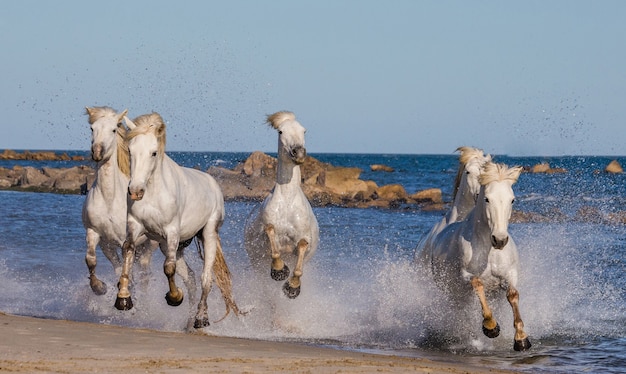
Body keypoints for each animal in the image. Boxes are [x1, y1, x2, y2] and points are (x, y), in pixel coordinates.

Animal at [82, 106, 158, 296]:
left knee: (144, 270)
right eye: (92, 128)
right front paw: (99, 287)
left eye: (114, 130)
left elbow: (127, 268)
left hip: (151, 243)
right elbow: (91, 259)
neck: (109, 199)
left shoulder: (127, 239)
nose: (97, 152)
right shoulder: (98, 236)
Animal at [117, 111, 241, 328]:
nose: (135, 191)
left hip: (208, 234)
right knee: (190, 278)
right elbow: (128, 251)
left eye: (153, 152)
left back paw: (201, 318)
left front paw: (174, 297)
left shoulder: (171, 231)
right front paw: (123, 298)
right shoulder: (135, 226)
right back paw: (190, 321)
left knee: (205, 278)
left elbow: (168, 267)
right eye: (130, 151)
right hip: (174, 245)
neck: (154, 193)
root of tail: (213, 184)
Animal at [244, 110, 320, 298]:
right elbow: (271, 233)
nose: (298, 153)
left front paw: (292, 286)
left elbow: (301, 250)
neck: (287, 201)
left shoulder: (304, 241)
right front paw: (279, 270)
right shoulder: (265, 235)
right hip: (256, 264)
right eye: (280, 131)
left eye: (304, 130)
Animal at [416, 161, 528, 350]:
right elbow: (477, 283)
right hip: (455, 293)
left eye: (512, 199)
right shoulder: (465, 275)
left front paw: (521, 338)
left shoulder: (510, 275)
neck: (489, 250)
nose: (499, 240)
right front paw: (491, 327)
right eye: (487, 199)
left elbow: (513, 294)